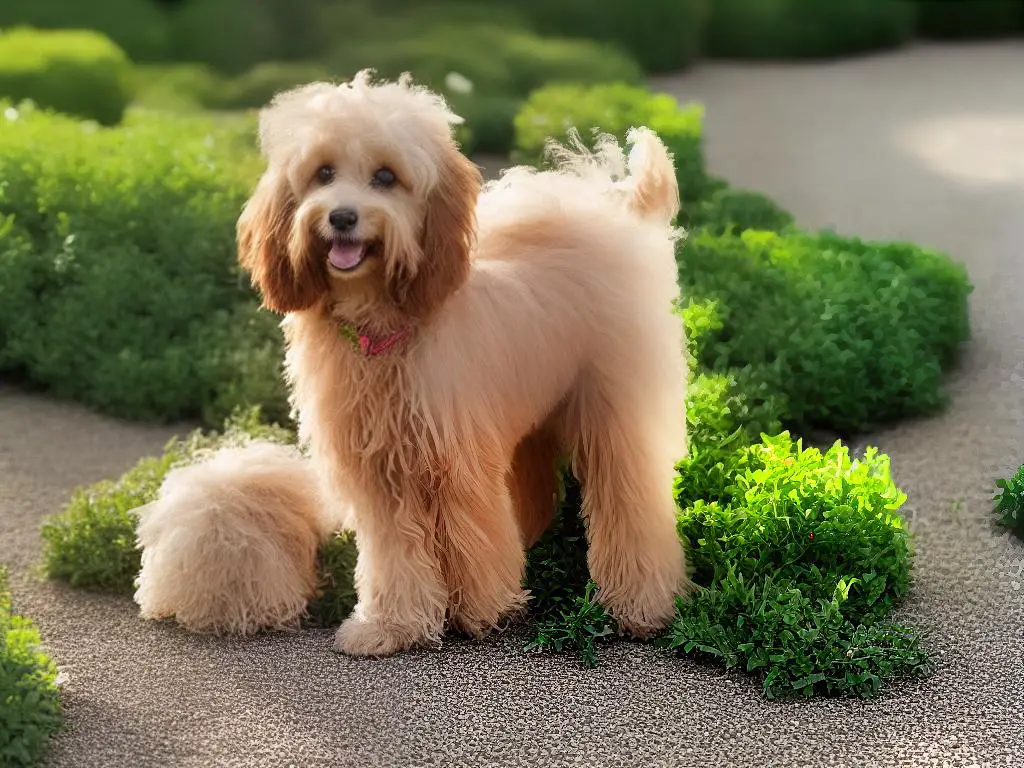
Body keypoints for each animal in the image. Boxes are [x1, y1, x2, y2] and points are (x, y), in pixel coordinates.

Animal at [235, 70, 692, 655]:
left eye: (385, 177)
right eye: (324, 173)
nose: (341, 217)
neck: (384, 329)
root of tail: (605, 211)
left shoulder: (456, 458)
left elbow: (470, 537)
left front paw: (480, 611)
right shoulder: (380, 473)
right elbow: (394, 554)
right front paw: (392, 624)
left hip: (615, 410)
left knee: (632, 499)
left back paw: (641, 606)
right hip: (533, 421)